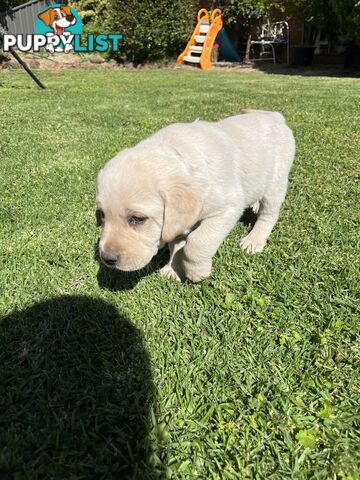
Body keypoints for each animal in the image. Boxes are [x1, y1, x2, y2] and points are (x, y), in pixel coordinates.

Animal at [95, 110, 296, 284]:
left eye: (137, 219)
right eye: (102, 215)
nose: (106, 258)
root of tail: (274, 115)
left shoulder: (228, 208)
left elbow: (197, 243)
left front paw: (196, 272)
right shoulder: (177, 221)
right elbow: (176, 244)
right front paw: (173, 269)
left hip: (276, 181)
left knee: (269, 214)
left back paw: (254, 240)